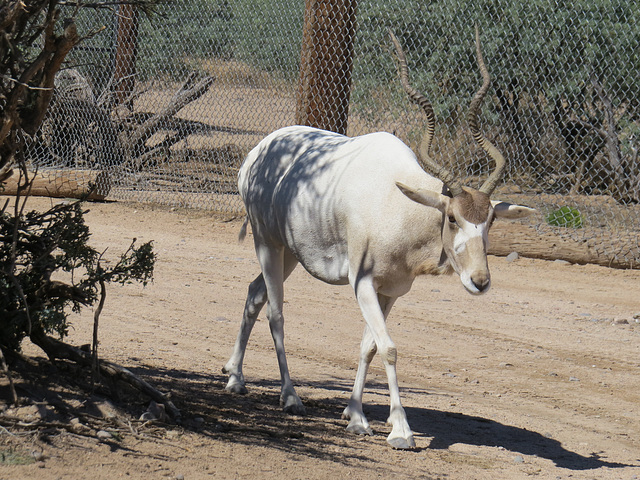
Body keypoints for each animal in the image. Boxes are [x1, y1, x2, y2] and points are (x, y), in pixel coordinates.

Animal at [222, 28, 532, 448]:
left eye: (491, 222)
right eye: (452, 217)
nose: (480, 281)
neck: (399, 206)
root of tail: (260, 150)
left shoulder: (391, 291)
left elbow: (368, 346)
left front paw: (354, 415)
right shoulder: (363, 282)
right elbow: (389, 348)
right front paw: (400, 429)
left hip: (291, 253)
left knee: (255, 294)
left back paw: (235, 377)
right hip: (267, 243)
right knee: (275, 310)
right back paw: (290, 398)